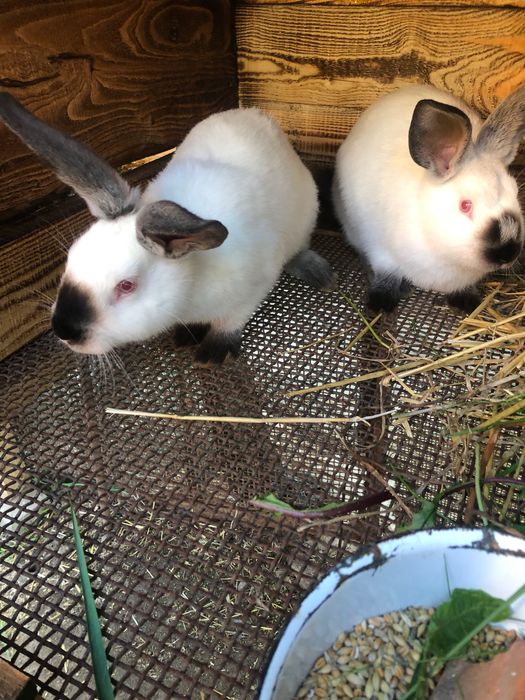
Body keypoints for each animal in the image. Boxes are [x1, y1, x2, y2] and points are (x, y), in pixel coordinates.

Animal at [0, 94, 335, 364]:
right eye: (71, 259)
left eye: (126, 286)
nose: (63, 330)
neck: (192, 279)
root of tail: (253, 113)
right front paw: (186, 336)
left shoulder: (253, 289)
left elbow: (229, 323)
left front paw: (210, 355)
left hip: (305, 219)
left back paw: (318, 272)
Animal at [332, 83, 525, 313]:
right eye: (465, 205)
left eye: (515, 192)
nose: (509, 253)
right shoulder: (381, 253)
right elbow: (386, 277)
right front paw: (379, 304)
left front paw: (467, 302)